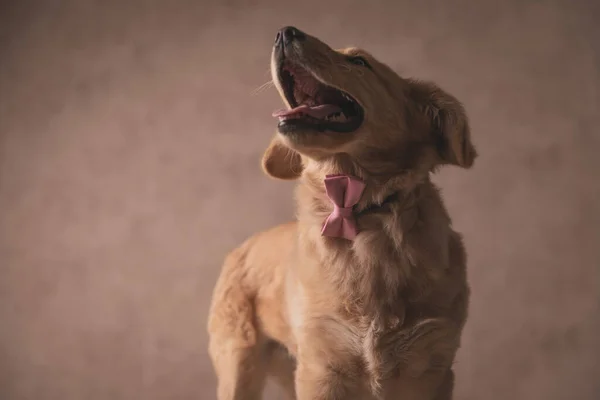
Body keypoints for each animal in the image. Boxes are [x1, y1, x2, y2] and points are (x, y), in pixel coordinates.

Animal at [209, 26, 476, 398]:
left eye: (359, 62)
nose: (285, 32)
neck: (363, 214)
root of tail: (241, 248)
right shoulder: (321, 367)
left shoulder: (430, 364)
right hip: (240, 365)